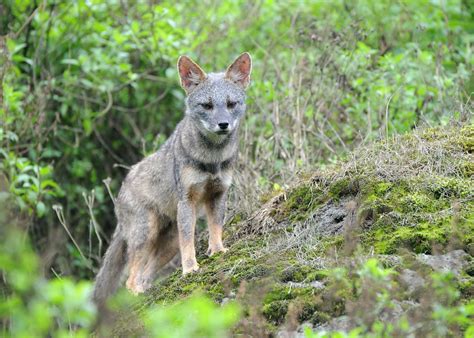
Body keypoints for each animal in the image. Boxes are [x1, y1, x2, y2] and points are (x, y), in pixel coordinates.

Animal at [93, 52, 254, 304]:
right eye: (207, 106)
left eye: (230, 104)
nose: (223, 124)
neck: (212, 159)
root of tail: (121, 191)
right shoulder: (187, 200)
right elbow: (189, 245)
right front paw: (190, 269)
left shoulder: (218, 194)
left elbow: (216, 228)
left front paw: (218, 251)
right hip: (148, 234)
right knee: (131, 280)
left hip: (168, 243)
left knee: (144, 276)